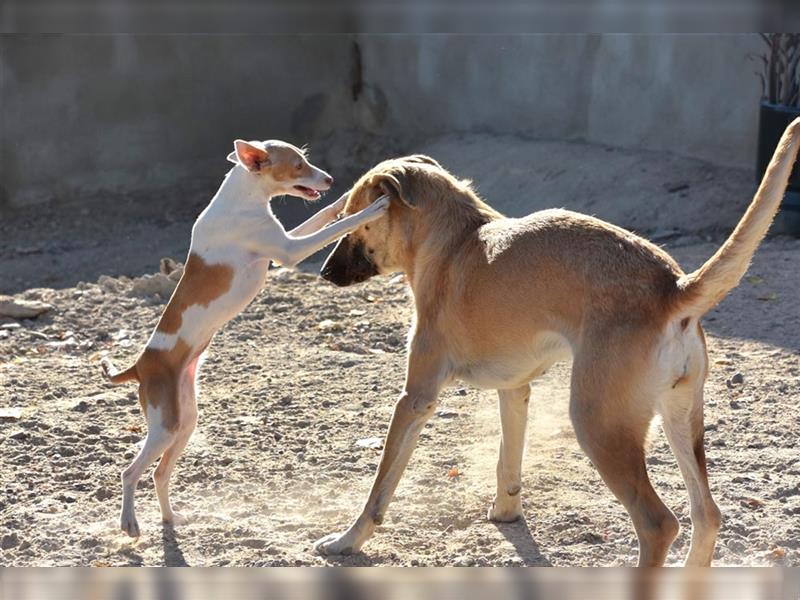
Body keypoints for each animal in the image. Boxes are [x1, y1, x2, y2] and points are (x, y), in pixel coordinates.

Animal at [101, 141, 390, 540]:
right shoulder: (287, 251)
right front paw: (372, 208)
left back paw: (171, 519)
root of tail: (139, 366)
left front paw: (347, 197)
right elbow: (337, 226)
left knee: (159, 473)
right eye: (297, 165)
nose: (330, 179)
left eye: (305, 159)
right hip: (164, 427)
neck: (242, 197)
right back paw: (129, 522)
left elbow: (326, 214)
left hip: (185, 421)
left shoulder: (283, 242)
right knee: (130, 472)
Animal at [314, 119, 800, 564]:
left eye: (350, 221)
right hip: (681, 419)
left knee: (659, 524)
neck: (455, 238)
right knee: (707, 515)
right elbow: (507, 461)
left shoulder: (416, 399)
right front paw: (505, 512)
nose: (323, 273)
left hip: (599, 425)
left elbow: (379, 488)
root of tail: (672, 286)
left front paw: (346, 541)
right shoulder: (515, 390)